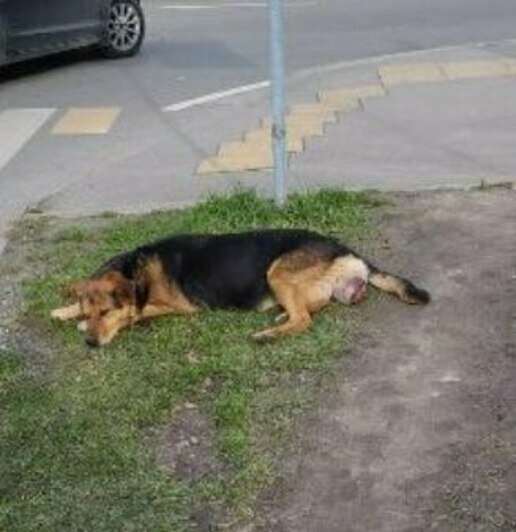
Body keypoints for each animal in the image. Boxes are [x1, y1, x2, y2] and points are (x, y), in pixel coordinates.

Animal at [50, 228, 430, 344]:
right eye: (91, 309)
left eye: (107, 311)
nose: (90, 344)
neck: (135, 272)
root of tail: (347, 251)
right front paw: (65, 310)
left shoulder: (178, 307)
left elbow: (137, 314)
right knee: (311, 308)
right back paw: (279, 317)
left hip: (277, 271)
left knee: (304, 320)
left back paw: (267, 334)